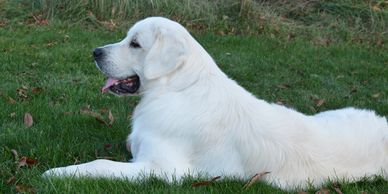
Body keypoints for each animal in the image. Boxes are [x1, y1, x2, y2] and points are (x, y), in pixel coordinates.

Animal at [42, 16, 388, 189]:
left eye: (135, 44)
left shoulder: (164, 170)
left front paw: (57, 172)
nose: (95, 52)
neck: (176, 89)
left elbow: (100, 164)